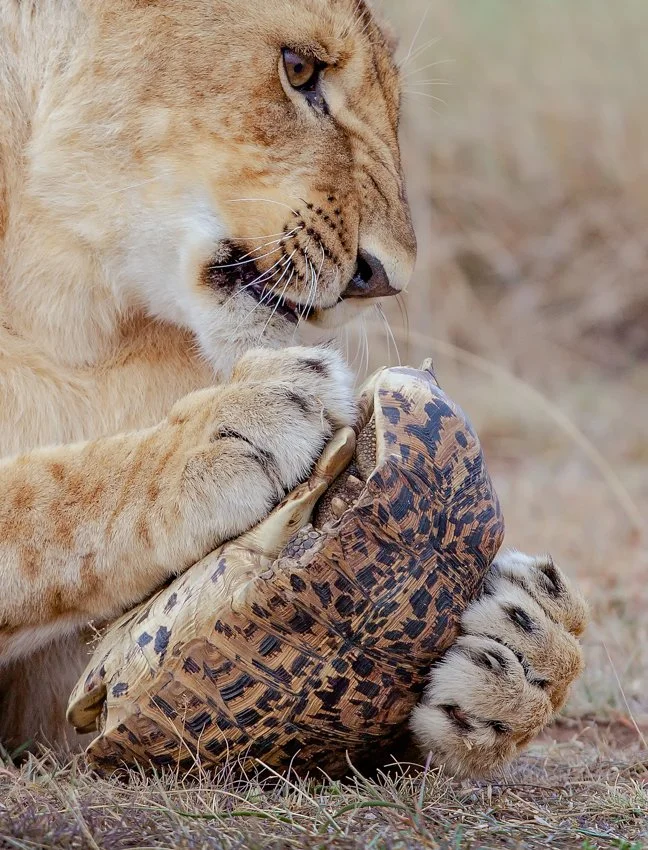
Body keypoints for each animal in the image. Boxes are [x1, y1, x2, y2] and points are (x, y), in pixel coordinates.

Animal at [0, 0, 587, 775]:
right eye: (299, 68)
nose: (384, 277)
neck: (70, 325)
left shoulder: (60, 713)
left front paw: (522, 644)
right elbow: (36, 498)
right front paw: (223, 431)